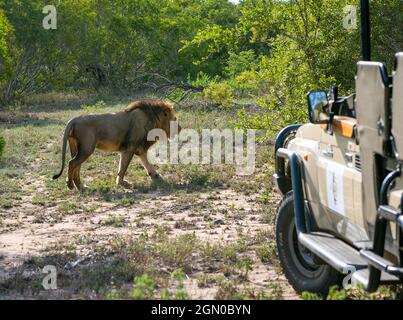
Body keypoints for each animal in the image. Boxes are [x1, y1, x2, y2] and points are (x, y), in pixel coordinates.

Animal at [52, 99, 181, 190]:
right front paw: (121, 183)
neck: (153, 120)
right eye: (174, 119)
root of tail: (74, 119)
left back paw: (81, 187)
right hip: (87, 148)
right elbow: (123, 168)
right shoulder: (130, 148)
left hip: (77, 147)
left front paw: (156, 176)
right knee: (72, 163)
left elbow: (145, 163)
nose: (180, 128)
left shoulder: (139, 149)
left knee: (76, 166)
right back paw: (71, 185)